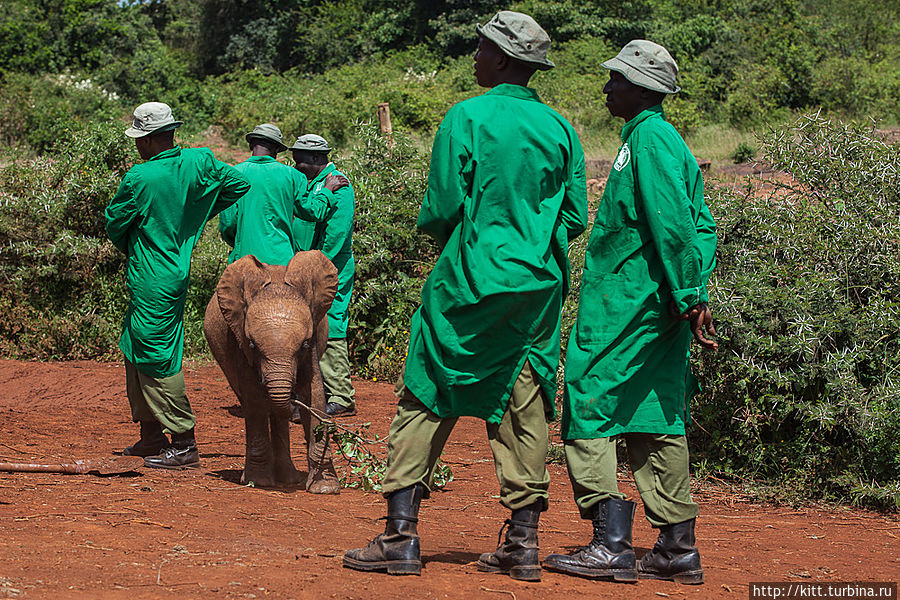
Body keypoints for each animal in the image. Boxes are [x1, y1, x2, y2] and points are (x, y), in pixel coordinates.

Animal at [204, 252, 342, 492]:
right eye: (252, 345)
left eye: (304, 344)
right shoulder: (238, 338)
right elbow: (254, 398)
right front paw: (258, 482)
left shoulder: (314, 338)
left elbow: (314, 393)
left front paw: (325, 488)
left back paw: (288, 479)